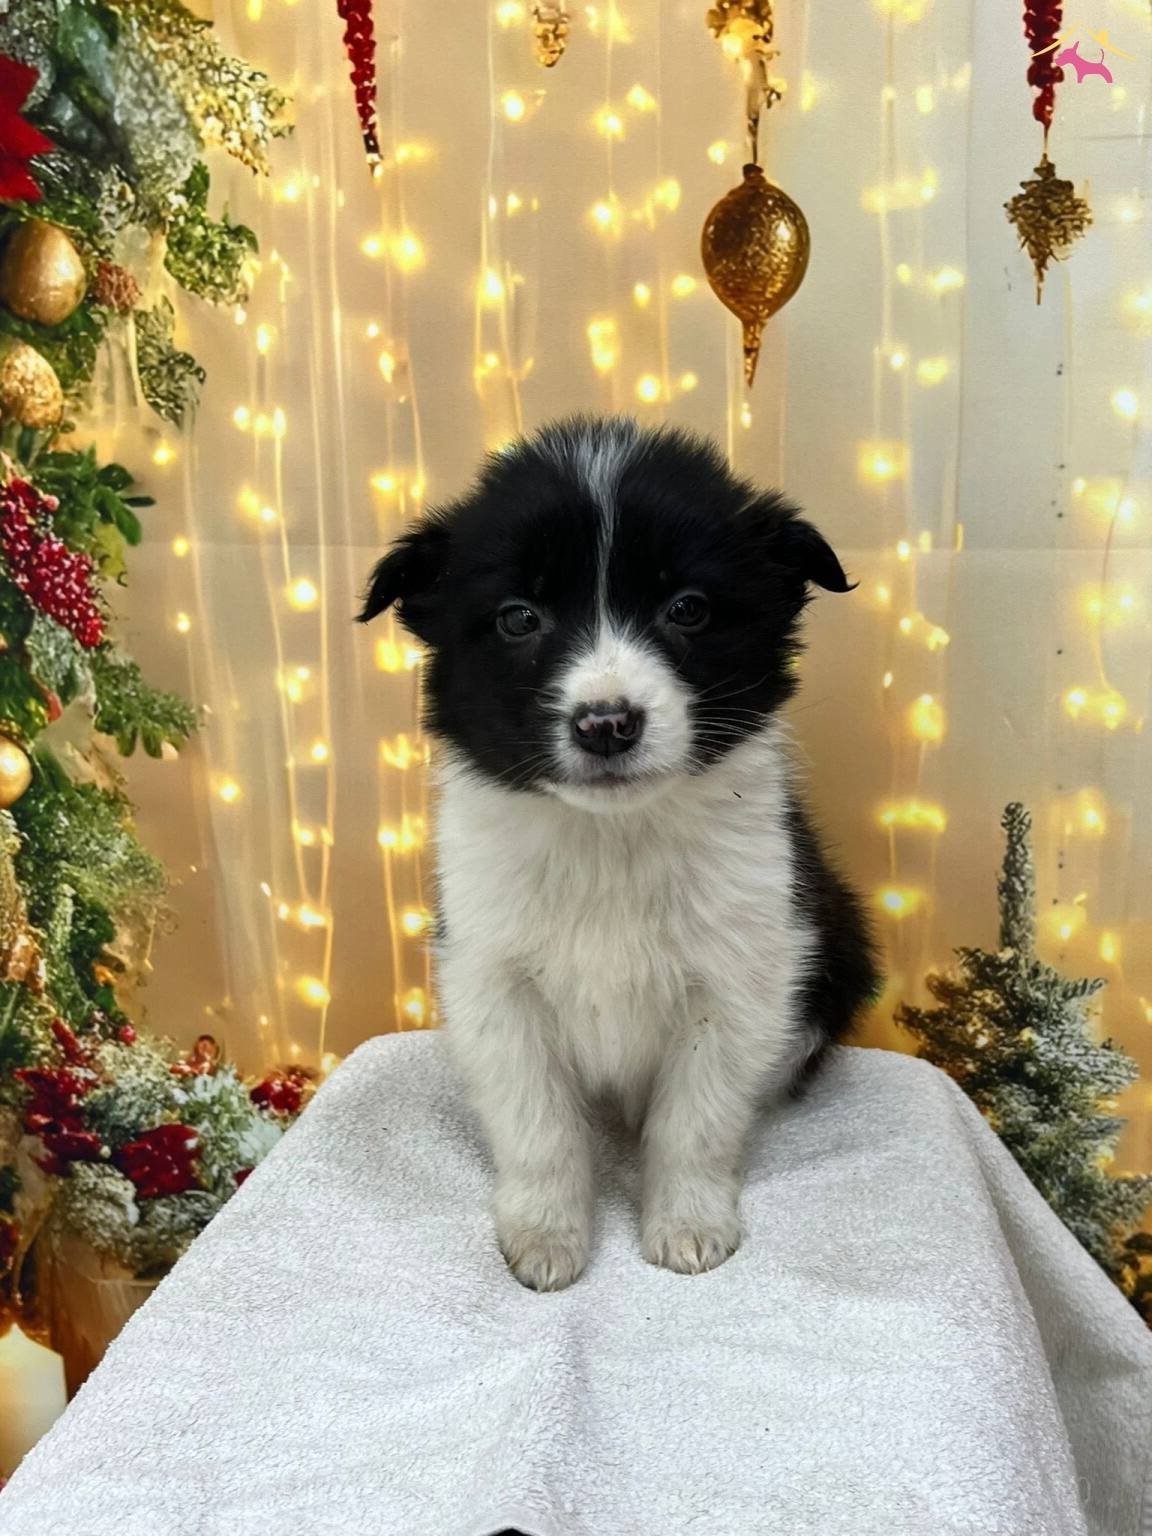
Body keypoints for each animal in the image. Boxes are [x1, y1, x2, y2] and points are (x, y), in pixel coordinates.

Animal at [359, 417, 879, 1291]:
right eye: (519, 618)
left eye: (688, 608)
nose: (606, 723)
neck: (611, 836)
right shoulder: (492, 975)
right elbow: (539, 1124)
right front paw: (545, 1238)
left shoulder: (741, 976)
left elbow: (695, 1119)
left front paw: (689, 1226)